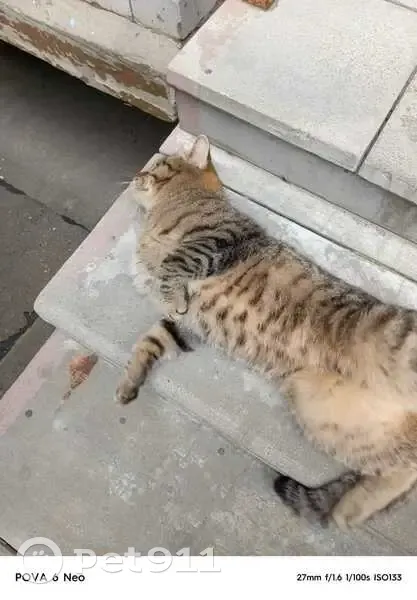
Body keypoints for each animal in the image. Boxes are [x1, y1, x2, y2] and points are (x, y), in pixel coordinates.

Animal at [115, 135, 417, 529]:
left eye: (157, 165)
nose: (137, 172)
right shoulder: (187, 330)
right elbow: (150, 340)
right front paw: (130, 380)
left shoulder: (215, 241)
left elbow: (172, 267)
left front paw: (173, 294)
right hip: (331, 423)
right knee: (402, 469)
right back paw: (352, 507)